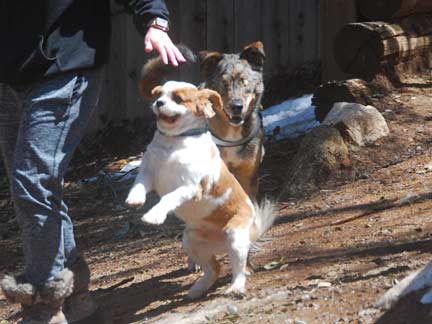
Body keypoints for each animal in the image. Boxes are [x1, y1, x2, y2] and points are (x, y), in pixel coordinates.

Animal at [125, 80, 276, 298]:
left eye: (178, 98)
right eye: (158, 94)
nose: (159, 103)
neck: (174, 143)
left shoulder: (190, 187)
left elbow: (168, 198)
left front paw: (154, 216)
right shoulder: (148, 172)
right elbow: (138, 185)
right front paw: (135, 200)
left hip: (235, 237)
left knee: (237, 269)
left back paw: (235, 287)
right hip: (191, 241)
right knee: (213, 268)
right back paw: (198, 289)